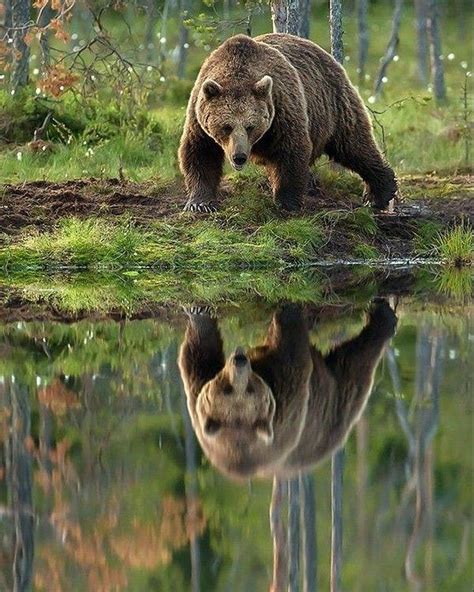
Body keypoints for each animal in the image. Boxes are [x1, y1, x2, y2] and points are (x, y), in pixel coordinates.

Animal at [180, 33, 398, 213]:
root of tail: (328, 56)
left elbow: (291, 150)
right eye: (226, 126)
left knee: (355, 145)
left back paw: (379, 193)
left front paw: (286, 202)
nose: (239, 157)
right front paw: (200, 203)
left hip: (333, 104)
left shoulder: (281, 106)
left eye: (250, 127)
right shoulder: (199, 117)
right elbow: (199, 153)